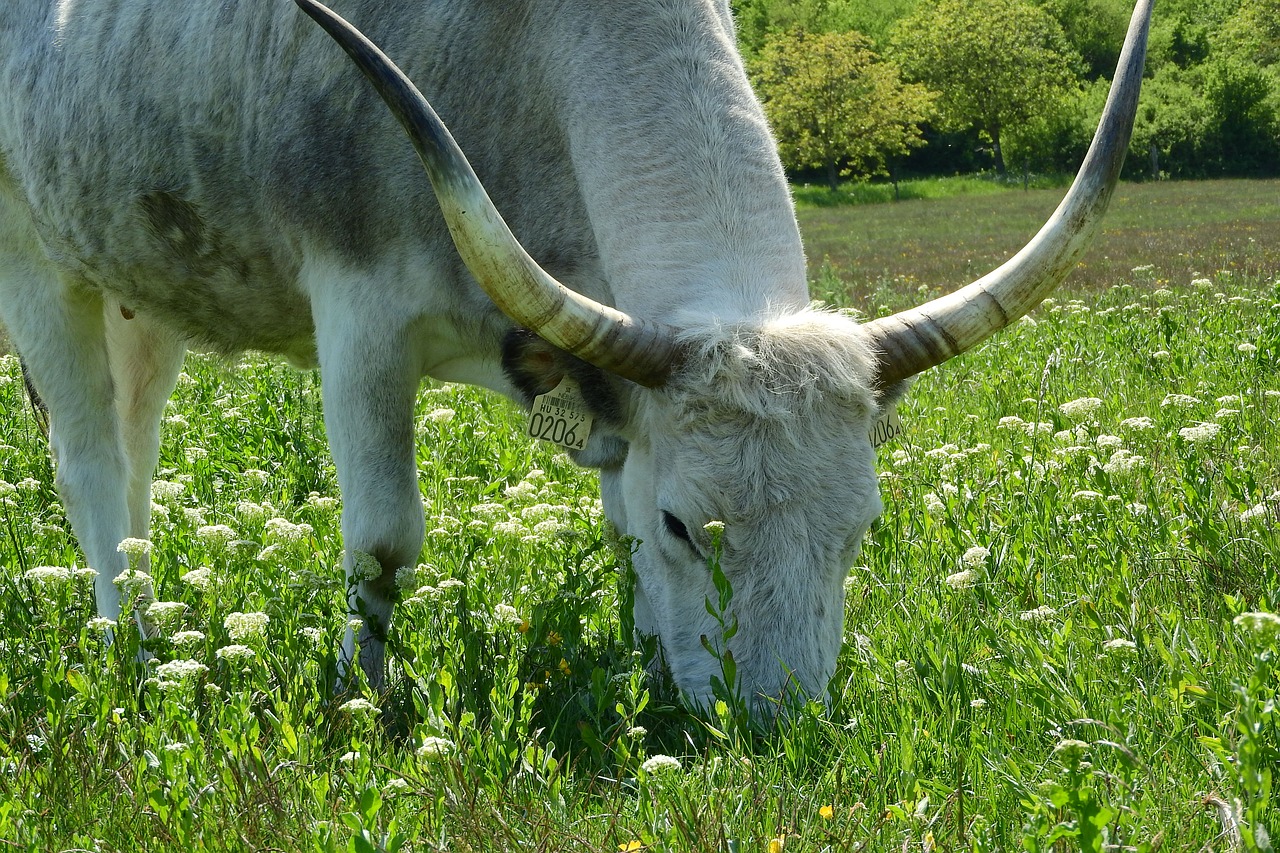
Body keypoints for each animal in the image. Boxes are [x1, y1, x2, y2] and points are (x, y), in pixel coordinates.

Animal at [0, 0, 1157, 712]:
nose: (779, 727)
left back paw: (156, 615)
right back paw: (129, 647)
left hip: (138, 283)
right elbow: (382, 541)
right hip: (35, 259)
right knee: (91, 460)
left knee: (136, 443)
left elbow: (610, 523)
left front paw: (645, 667)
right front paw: (363, 695)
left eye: (860, 528)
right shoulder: (360, 312)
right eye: (688, 525)